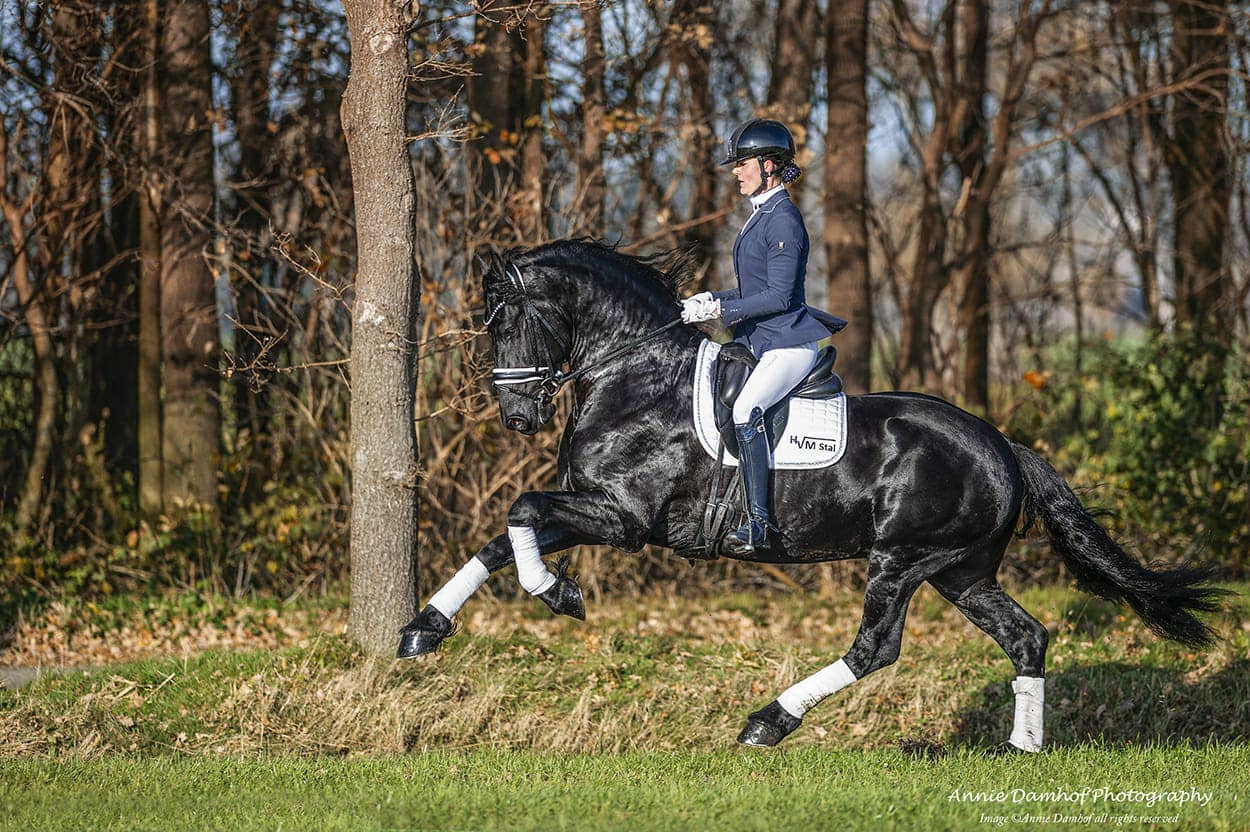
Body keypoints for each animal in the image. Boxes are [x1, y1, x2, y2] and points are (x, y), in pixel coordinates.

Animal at [402, 238, 1230, 744]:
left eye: (506, 322)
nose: (518, 417)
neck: (635, 377)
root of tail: (1002, 445)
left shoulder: (623, 516)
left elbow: (520, 511)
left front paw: (558, 593)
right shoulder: (594, 509)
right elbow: (500, 536)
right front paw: (425, 629)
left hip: (903, 559)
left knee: (875, 647)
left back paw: (767, 722)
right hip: (962, 569)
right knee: (1026, 636)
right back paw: (1024, 750)